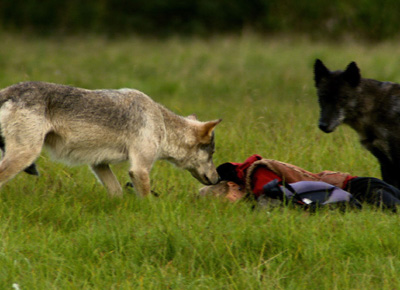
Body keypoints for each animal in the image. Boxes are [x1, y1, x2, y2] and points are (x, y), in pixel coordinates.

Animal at [0, 82, 222, 198]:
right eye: (211, 154)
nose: (218, 178)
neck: (162, 124)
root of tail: (10, 89)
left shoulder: (99, 164)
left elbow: (117, 192)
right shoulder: (139, 169)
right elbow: (146, 199)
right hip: (26, 155)